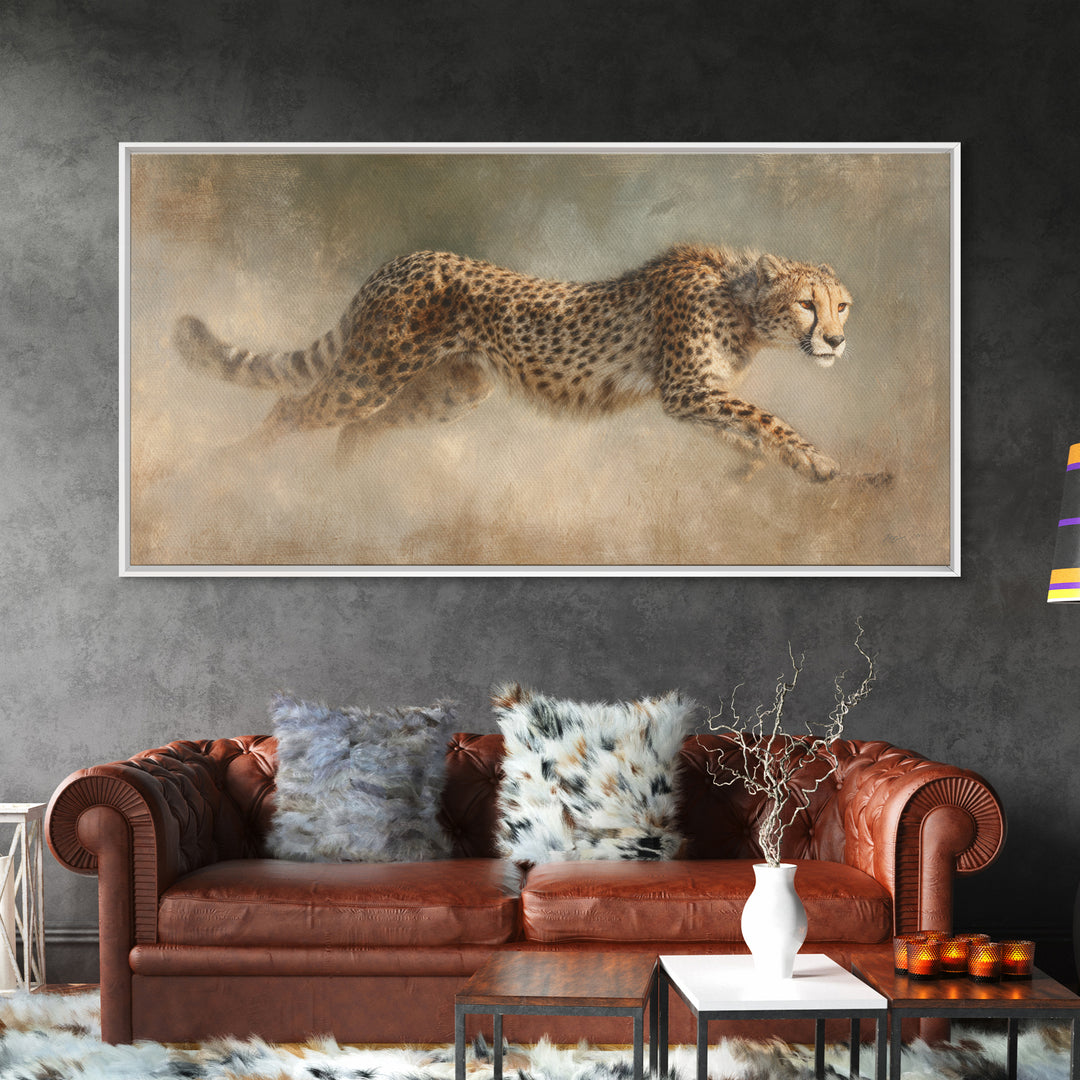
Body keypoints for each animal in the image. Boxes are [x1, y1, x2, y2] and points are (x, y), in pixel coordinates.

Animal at [172, 244, 890, 485]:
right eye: (807, 305)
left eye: (844, 307)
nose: (836, 342)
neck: (743, 304)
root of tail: (403, 259)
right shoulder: (687, 390)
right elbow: (766, 419)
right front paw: (821, 463)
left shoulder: (700, 397)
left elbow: (747, 429)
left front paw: (787, 471)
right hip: (373, 373)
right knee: (292, 407)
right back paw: (222, 474)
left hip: (453, 390)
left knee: (359, 428)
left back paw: (343, 496)